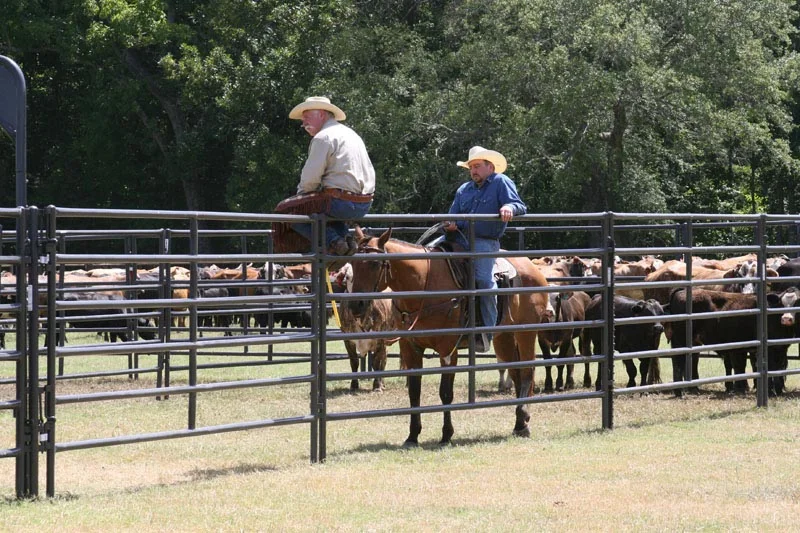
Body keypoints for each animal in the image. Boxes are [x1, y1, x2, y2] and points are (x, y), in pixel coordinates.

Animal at [350, 227, 552, 446]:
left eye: (374, 263)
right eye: (352, 263)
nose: (356, 305)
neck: (425, 287)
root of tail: (533, 268)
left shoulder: (448, 350)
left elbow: (445, 393)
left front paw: (446, 434)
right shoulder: (410, 348)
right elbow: (414, 392)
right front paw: (412, 436)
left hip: (525, 333)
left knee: (527, 371)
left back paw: (524, 420)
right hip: (504, 337)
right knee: (516, 373)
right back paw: (519, 424)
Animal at [664, 286, 796, 394]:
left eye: (797, 302)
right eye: (782, 303)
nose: (786, 318)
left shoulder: (781, 349)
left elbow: (779, 367)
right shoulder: (770, 349)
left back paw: (692, 388)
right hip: (680, 341)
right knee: (678, 361)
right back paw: (679, 391)